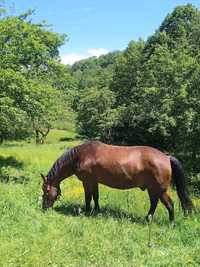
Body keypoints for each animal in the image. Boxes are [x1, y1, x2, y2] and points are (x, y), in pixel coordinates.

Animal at [40, 141, 192, 223]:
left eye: (46, 191)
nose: (44, 208)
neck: (82, 155)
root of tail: (166, 157)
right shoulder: (94, 182)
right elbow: (96, 196)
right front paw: (97, 211)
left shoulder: (87, 182)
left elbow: (88, 197)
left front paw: (87, 211)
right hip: (152, 189)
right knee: (154, 203)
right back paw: (147, 218)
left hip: (159, 190)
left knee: (170, 204)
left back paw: (171, 223)